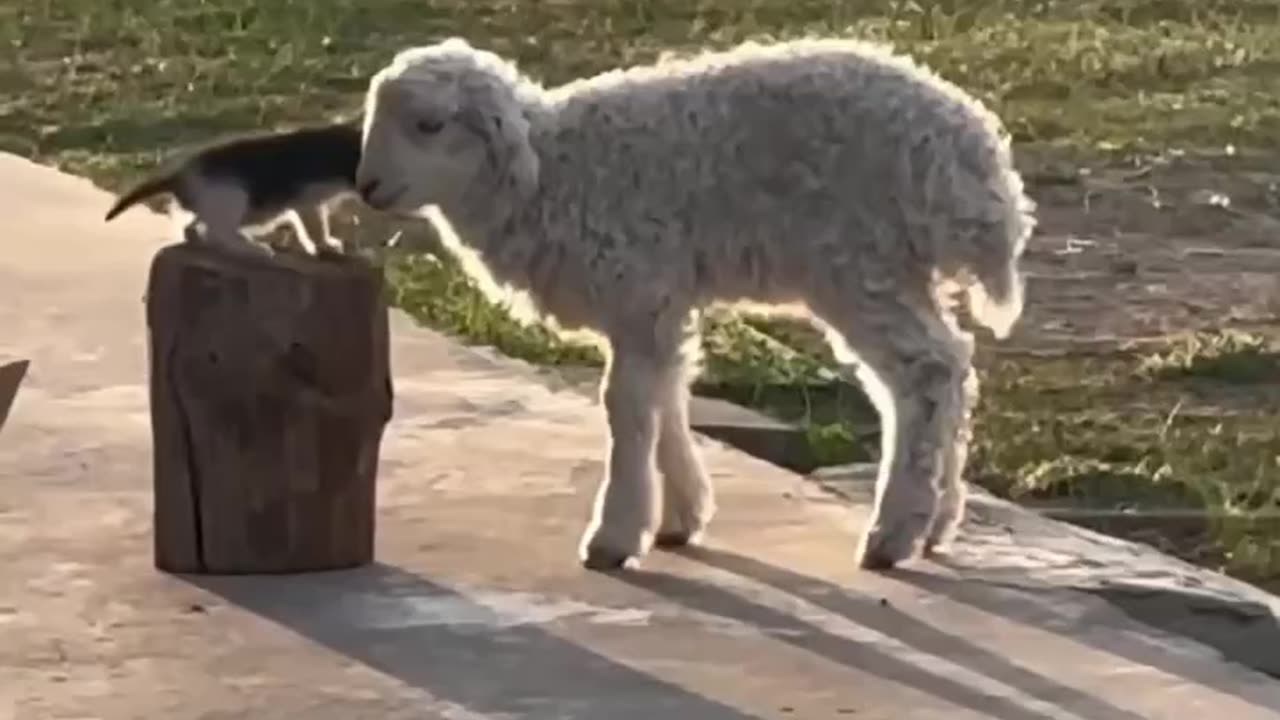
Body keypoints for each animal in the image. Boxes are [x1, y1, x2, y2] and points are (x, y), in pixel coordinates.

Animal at [103, 122, 366, 254]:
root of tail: (182, 174)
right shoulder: (306, 196)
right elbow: (314, 224)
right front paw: (323, 244)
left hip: (212, 202)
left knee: (194, 227)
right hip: (232, 195)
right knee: (218, 232)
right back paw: (251, 247)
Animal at [355, 35, 1034, 571]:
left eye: (429, 125)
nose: (368, 187)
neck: (551, 174)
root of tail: (972, 156)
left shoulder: (638, 287)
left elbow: (626, 407)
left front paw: (614, 535)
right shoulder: (658, 300)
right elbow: (664, 396)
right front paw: (680, 516)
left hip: (858, 262)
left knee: (925, 372)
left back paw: (893, 532)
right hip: (898, 268)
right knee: (952, 364)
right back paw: (936, 520)